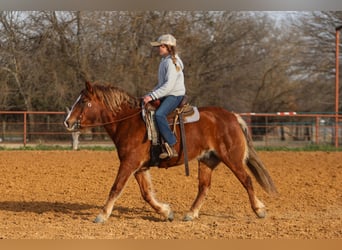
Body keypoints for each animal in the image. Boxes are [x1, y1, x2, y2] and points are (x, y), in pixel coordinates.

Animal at [64, 81, 278, 223]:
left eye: (83, 101)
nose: (67, 121)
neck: (129, 122)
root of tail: (233, 117)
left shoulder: (129, 163)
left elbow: (116, 187)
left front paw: (102, 214)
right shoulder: (139, 167)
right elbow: (147, 194)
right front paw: (166, 212)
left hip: (232, 159)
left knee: (247, 180)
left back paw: (259, 210)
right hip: (207, 160)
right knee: (204, 187)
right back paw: (190, 214)